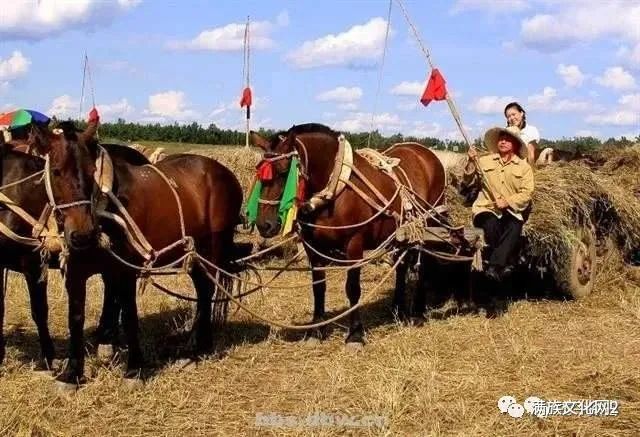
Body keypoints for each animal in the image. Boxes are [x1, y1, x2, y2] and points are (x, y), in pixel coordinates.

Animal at [249, 123, 444, 348]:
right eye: (259, 172)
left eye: (283, 172)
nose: (264, 225)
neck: (333, 188)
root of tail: (424, 152)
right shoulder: (313, 247)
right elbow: (318, 287)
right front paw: (316, 331)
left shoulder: (354, 245)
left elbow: (353, 288)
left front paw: (355, 334)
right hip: (401, 234)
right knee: (401, 266)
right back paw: (397, 310)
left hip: (430, 226)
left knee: (424, 264)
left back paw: (418, 313)